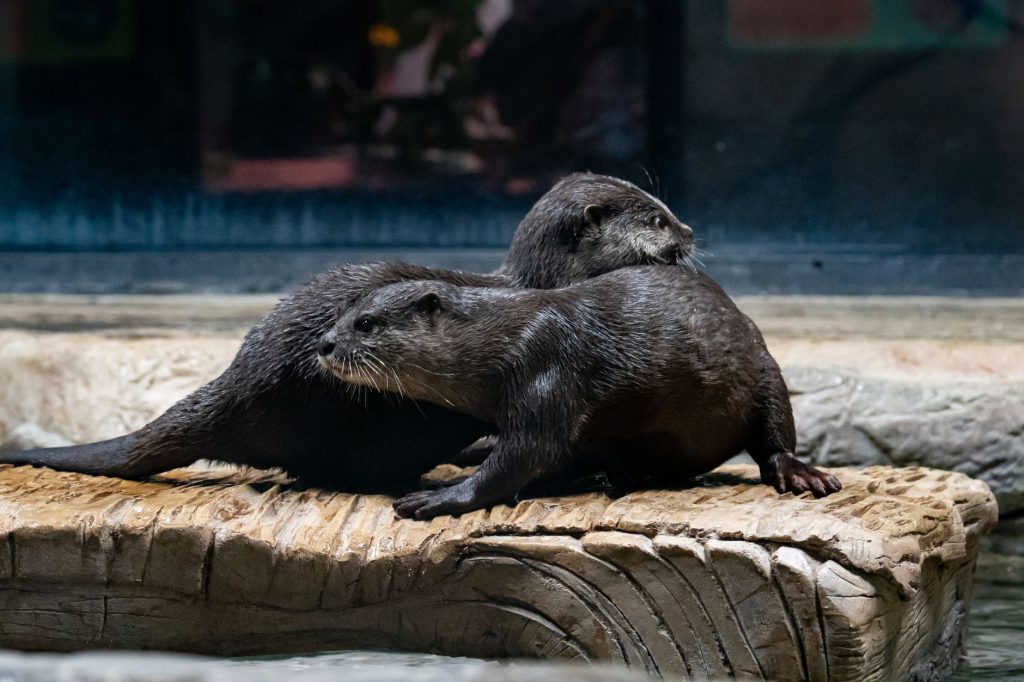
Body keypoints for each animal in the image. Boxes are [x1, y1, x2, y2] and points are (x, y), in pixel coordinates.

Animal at [321, 265, 842, 518]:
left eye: (366, 324)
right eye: (343, 316)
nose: (324, 344)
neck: (502, 338)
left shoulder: (546, 363)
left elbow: (525, 452)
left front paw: (438, 497)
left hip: (764, 368)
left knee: (774, 434)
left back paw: (800, 473)